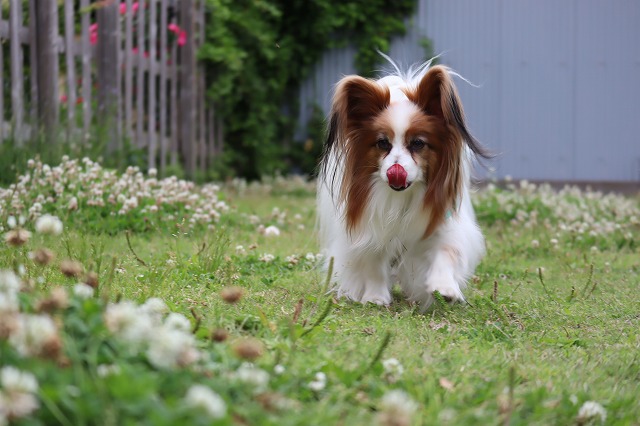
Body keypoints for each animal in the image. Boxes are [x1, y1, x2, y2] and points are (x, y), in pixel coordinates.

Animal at [317, 59, 490, 309]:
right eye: (382, 143)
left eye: (417, 143)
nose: (394, 171)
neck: (400, 198)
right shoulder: (369, 228)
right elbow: (373, 262)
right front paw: (375, 297)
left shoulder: (442, 223)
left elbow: (446, 250)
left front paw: (445, 288)